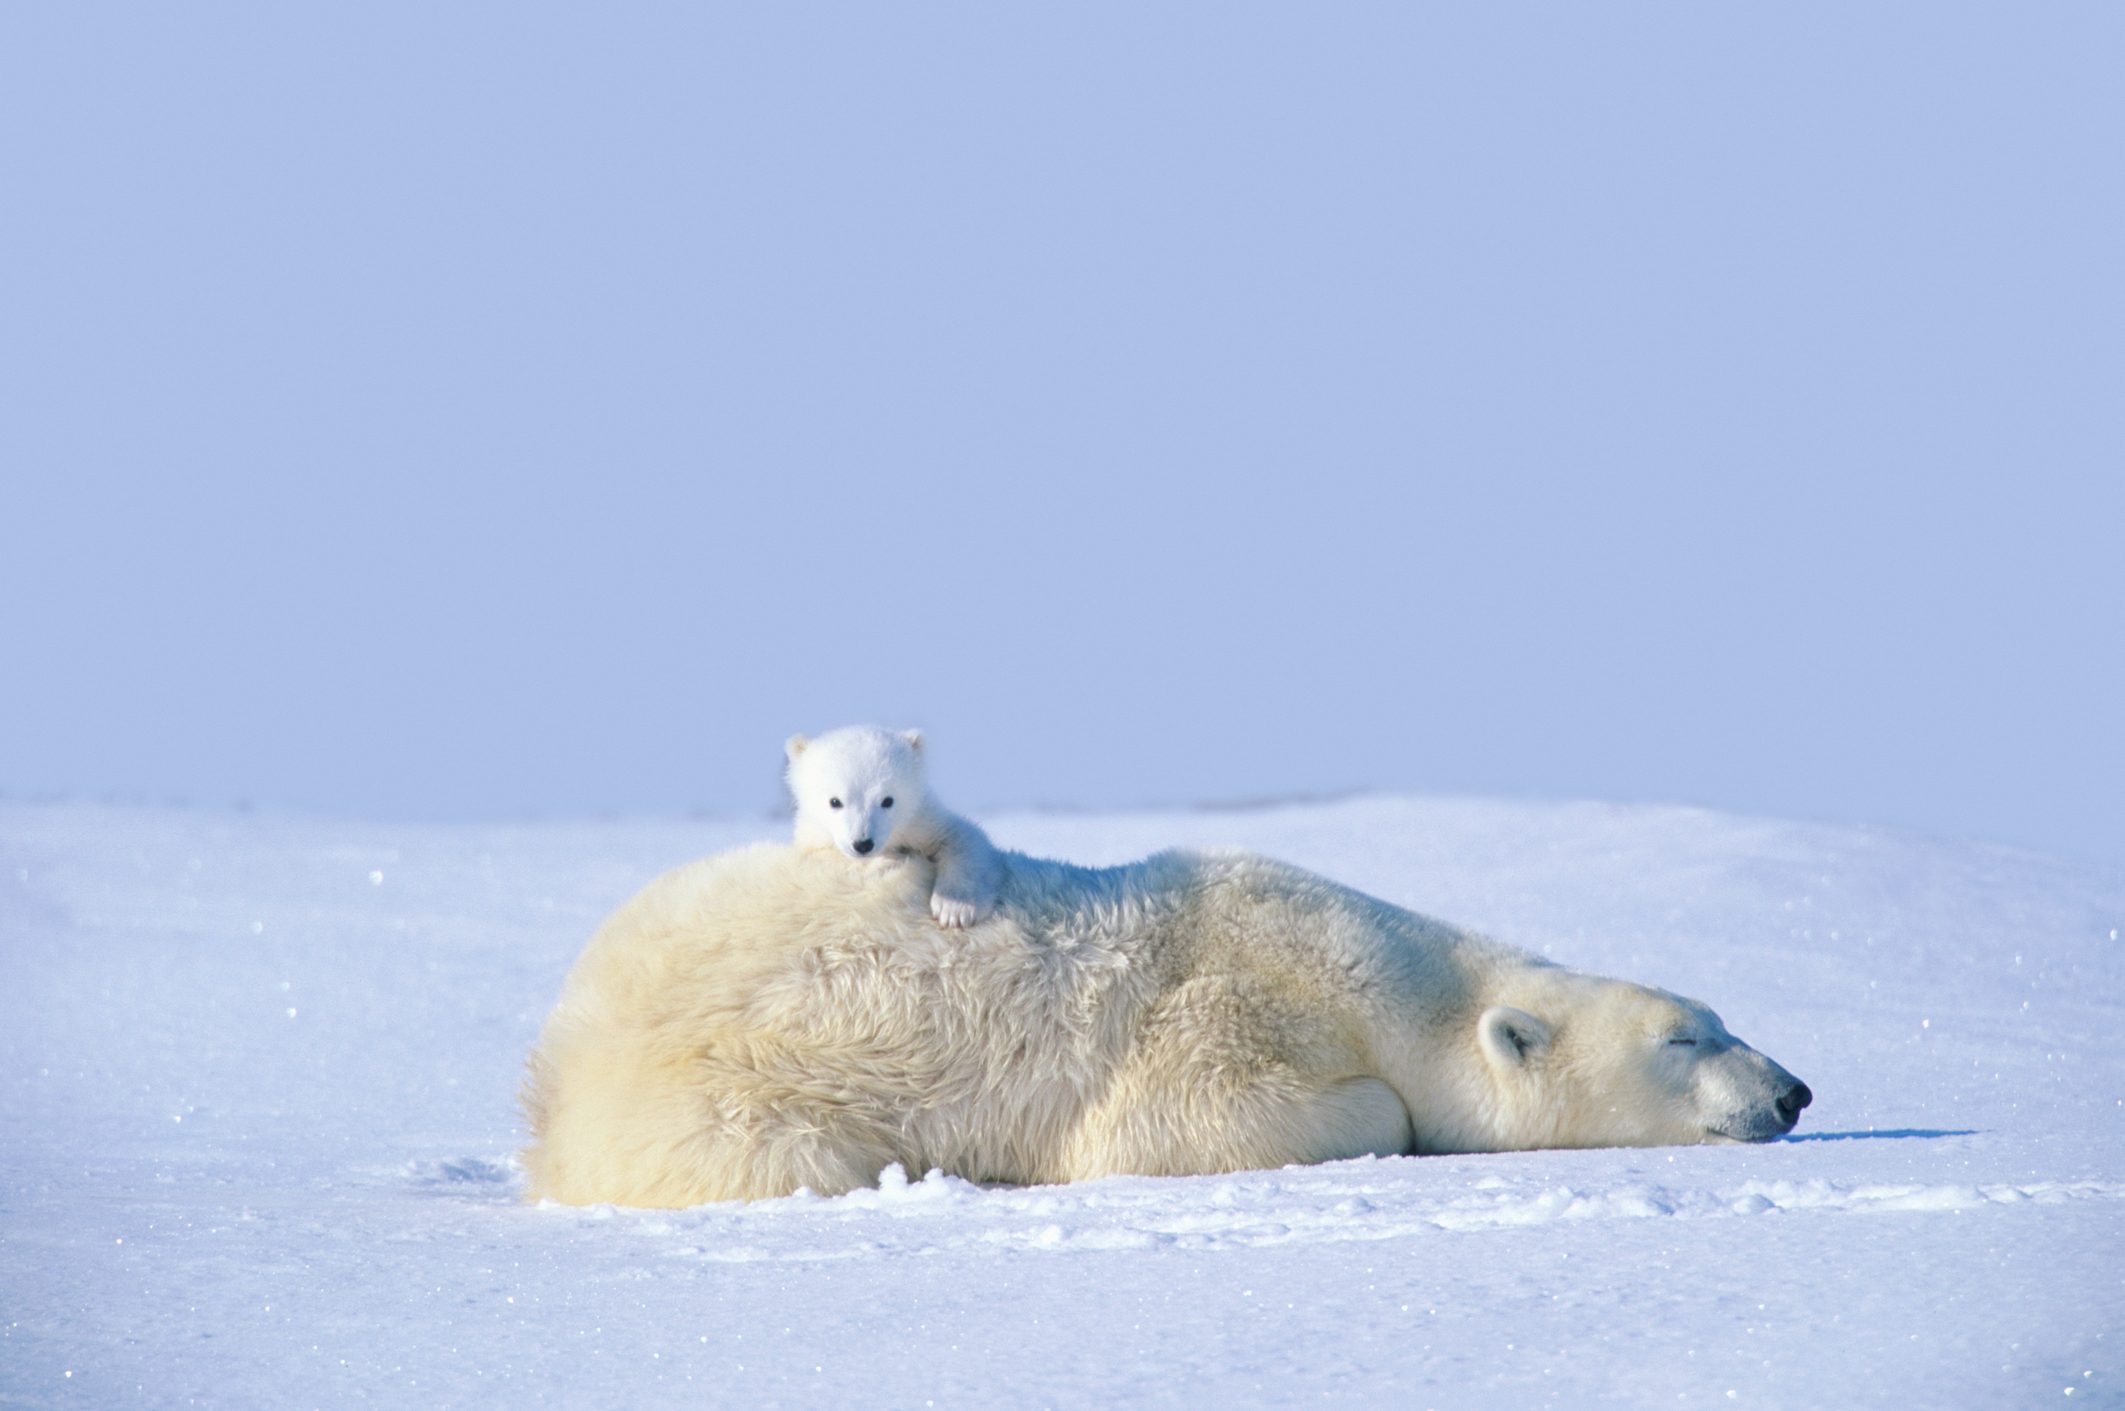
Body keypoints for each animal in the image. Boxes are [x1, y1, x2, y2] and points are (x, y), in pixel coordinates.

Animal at [520, 843, 1810, 1208]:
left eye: (1721, 1017)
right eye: (1686, 1038)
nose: (1794, 1090)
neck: (1382, 979)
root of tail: (554, 1057)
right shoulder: (1225, 1012)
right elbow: (1183, 1122)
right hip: (716, 1093)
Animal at [784, 725, 1004, 929]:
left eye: (887, 800)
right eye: (835, 801)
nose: (863, 844)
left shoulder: (919, 821)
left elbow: (962, 837)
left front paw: (955, 909)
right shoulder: (812, 836)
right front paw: (889, 861)